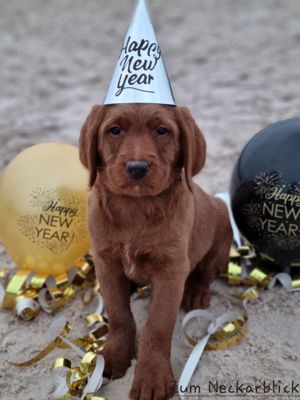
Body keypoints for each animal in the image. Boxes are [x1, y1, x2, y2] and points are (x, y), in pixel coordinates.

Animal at [79, 104, 232, 400]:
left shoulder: (171, 271)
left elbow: (157, 326)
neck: (135, 208)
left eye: (162, 130)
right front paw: (113, 356)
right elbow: (118, 314)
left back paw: (196, 292)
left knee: (207, 269)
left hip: (221, 223)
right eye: (114, 130)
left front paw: (151, 378)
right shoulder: (106, 262)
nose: (137, 168)